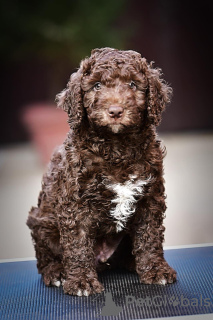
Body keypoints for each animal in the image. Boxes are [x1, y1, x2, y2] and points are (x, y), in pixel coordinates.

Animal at [26, 47, 176, 296]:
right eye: (96, 86)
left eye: (133, 84)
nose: (115, 111)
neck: (117, 147)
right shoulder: (75, 203)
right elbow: (77, 243)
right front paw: (81, 282)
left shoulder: (150, 197)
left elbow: (150, 236)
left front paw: (156, 270)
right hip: (41, 222)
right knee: (46, 257)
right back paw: (56, 272)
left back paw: (132, 263)